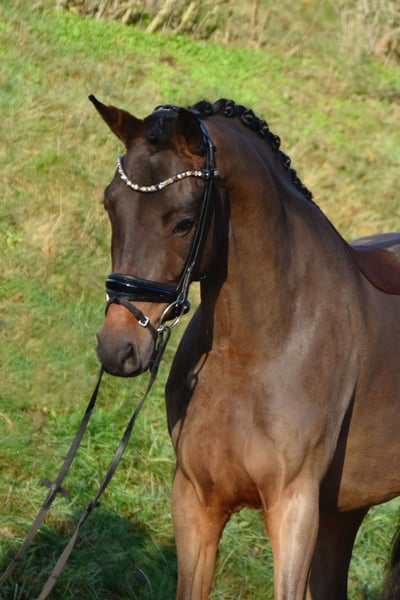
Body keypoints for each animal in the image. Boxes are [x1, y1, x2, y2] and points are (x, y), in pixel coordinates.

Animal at [90, 95, 400, 599]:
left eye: (184, 222)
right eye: (110, 204)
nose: (118, 347)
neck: (258, 346)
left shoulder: (294, 509)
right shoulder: (195, 499)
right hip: (344, 510)